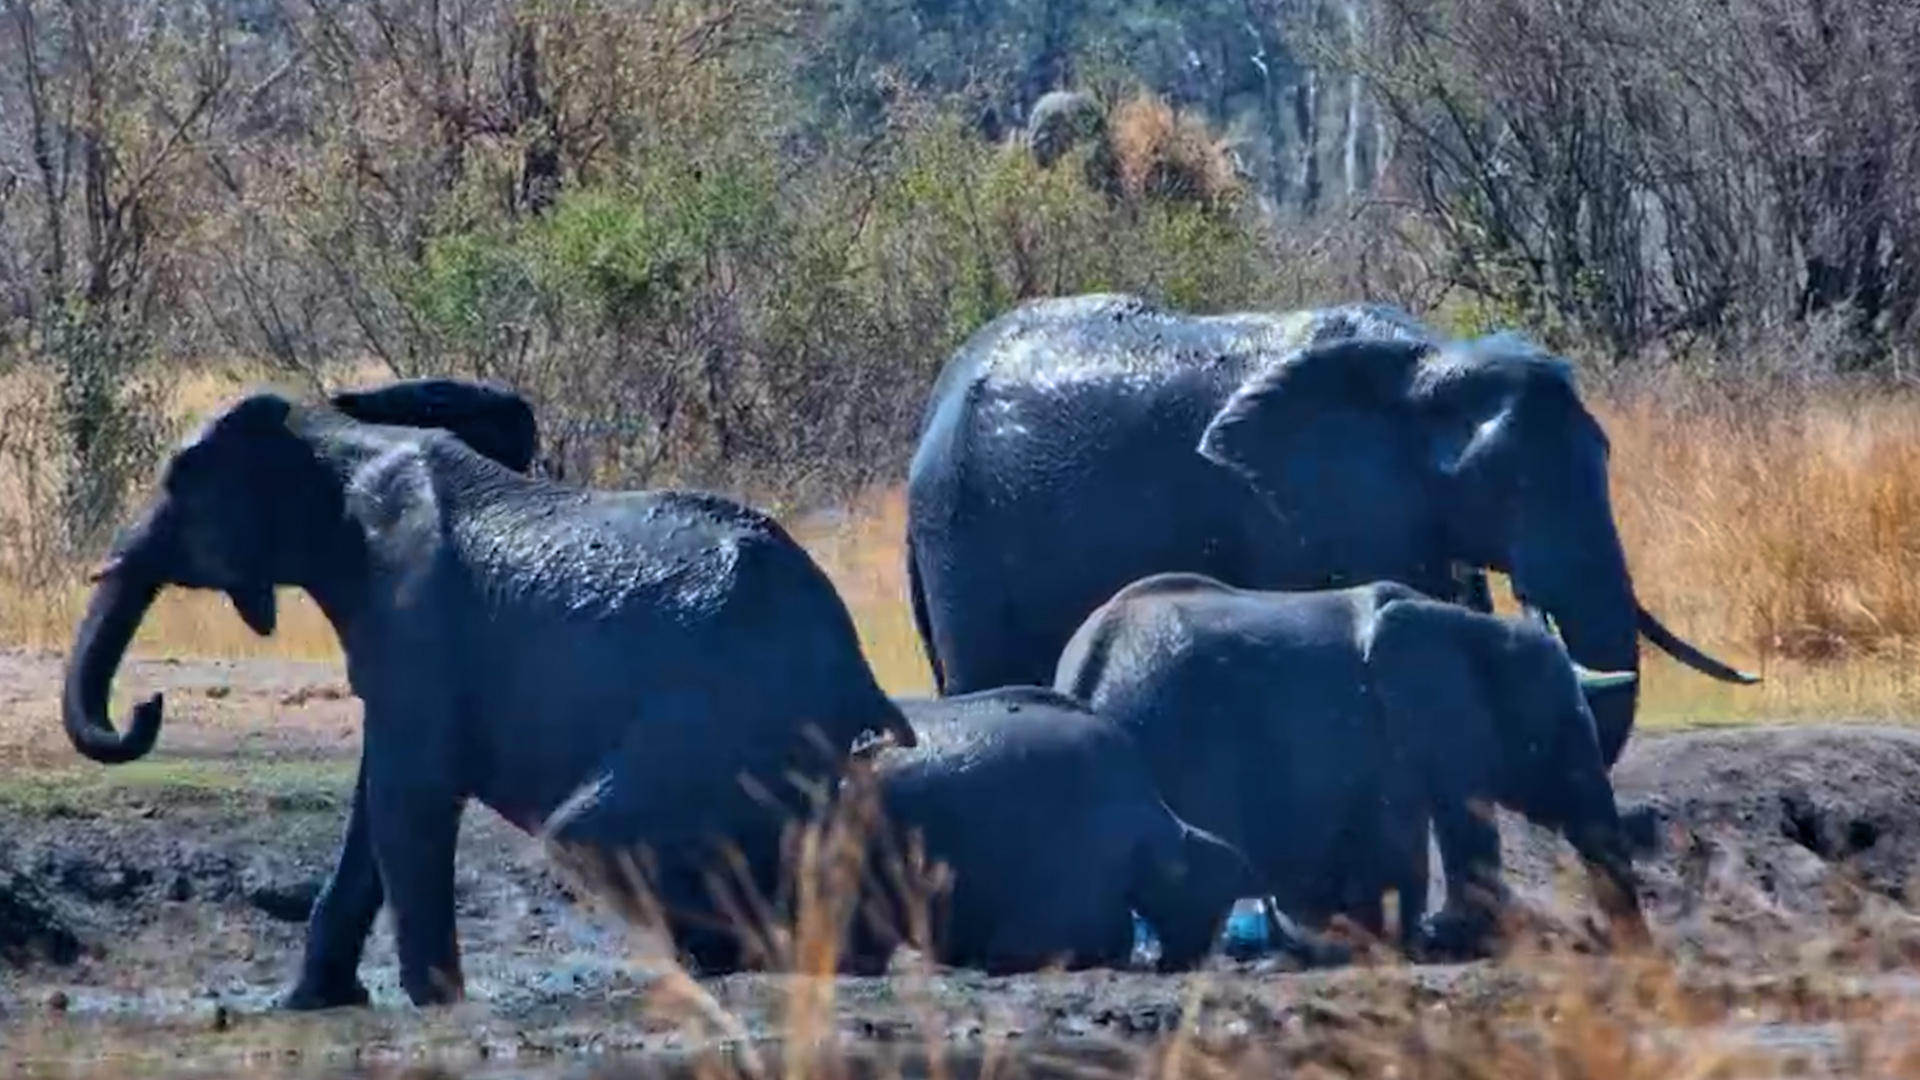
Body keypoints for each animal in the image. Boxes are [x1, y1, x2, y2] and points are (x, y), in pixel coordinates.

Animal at [59, 382, 919, 1010]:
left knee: (589, 832)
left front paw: (433, 1008)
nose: (146, 706)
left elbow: (408, 800)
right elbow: (377, 804)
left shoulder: (413, 613)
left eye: (179, 482)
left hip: (715, 713)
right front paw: (310, 1007)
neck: (341, 438)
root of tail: (851, 665)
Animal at [1052, 572, 1655, 962]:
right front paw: (1436, 942)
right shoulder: (1403, 732)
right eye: (1560, 736)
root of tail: (1085, 674)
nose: (1638, 954)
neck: (1477, 631)